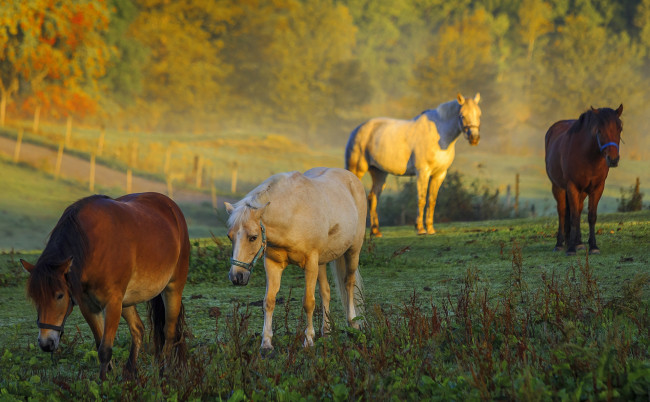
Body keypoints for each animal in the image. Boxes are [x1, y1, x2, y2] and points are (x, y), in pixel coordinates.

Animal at [22, 193, 190, 378]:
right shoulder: (89, 307)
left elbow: (105, 350)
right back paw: (130, 373)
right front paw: (109, 377)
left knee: (169, 332)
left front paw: (104, 383)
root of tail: (171, 207)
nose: (46, 343)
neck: (91, 247)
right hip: (126, 302)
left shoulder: (111, 305)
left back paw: (164, 372)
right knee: (138, 329)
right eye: (35, 298)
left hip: (172, 288)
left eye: (60, 295)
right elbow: (100, 345)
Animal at [223, 166, 364, 348]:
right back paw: (326, 331)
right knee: (325, 292)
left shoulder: (310, 263)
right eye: (229, 236)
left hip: (353, 251)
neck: (292, 214)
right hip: (322, 262)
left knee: (349, 285)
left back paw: (353, 325)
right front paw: (266, 343)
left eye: (253, 237)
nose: (236, 276)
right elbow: (269, 301)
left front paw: (308, 340)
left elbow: (308, 302)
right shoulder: (273, 264)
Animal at [344, 92, 480, 237]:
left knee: (372, 198)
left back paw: (376, 231)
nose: (474, 138)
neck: (439, 136)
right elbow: (421, 198)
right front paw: (420, 228)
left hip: (379, 173)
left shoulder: (440, 174)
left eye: (479, 114)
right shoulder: (423, 172)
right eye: (462, 115)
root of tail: (357, 130)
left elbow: (432, 200)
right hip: (356, 170)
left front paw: (430, 229)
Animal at [544, 103, 620, 254]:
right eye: (599, 131)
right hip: (558, 187)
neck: (588, 156)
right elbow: (572, 217)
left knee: (578, 210)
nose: (613, 159)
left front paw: (593, 246)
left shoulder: (597, 188)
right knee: (562, 212)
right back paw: (560, 244)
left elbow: (591, 216)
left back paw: (578, 242)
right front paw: (571, 249)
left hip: (583, 191)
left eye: (619, 128)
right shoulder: (572, 187)